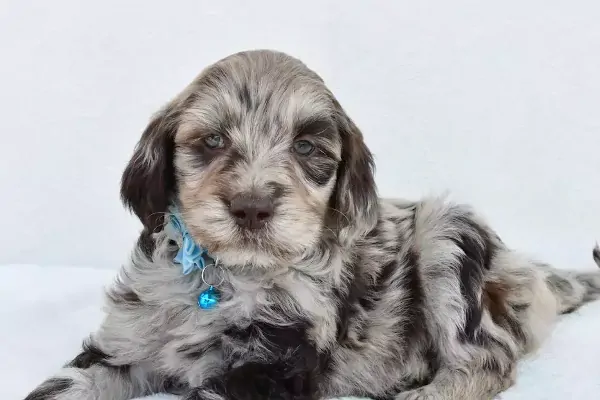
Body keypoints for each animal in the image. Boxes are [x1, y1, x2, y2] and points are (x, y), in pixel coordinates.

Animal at [25, 50, 600, 400]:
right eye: (211, 141)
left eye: (306, 148)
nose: (252, 207)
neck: (225, 277)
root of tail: (530, 273)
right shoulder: (122, 346)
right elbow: (67, 384)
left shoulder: (270, 364)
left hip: (448, 237)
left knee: (489, 359)